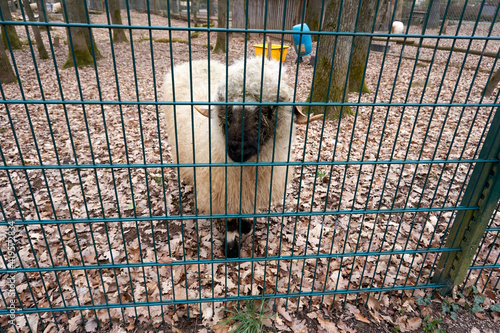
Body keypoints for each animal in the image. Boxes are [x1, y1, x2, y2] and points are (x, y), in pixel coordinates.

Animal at [162, 56, 322, 256]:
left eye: (268, 109)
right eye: (227, 108)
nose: (236, 148)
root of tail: (196, 61)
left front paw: (245, 226)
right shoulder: (225, 190)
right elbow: (230, 222)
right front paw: (231, 248)